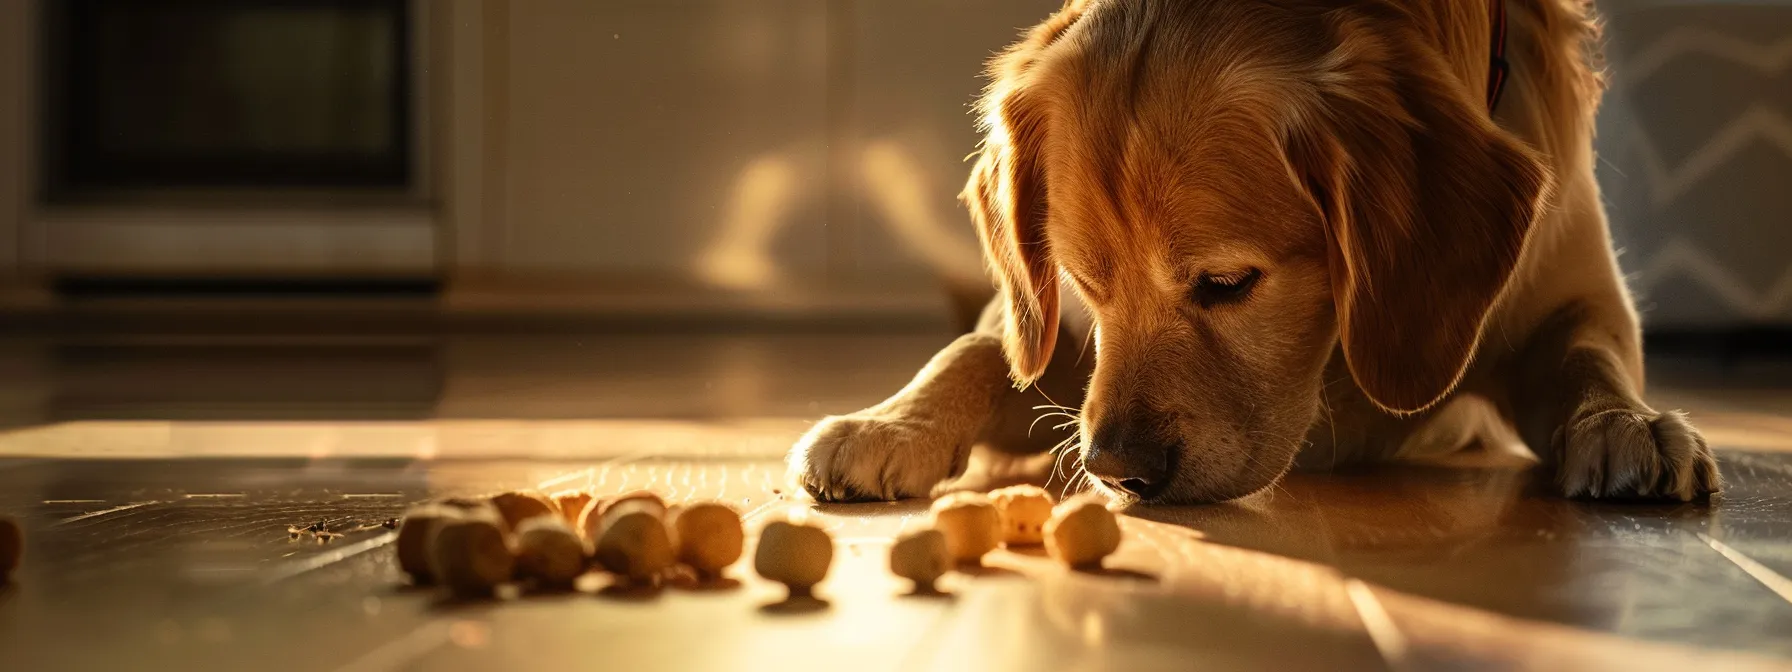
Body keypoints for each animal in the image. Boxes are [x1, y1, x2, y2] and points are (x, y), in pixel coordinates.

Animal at [788, 0, 1720, 505]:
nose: (1119, 470)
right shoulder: (1060, 341)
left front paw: (1626, 423)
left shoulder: (1575, 298)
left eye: (1228, 283)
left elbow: (1589, 355)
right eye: (1086, 282)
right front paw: (889, 423)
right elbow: (979, 350)